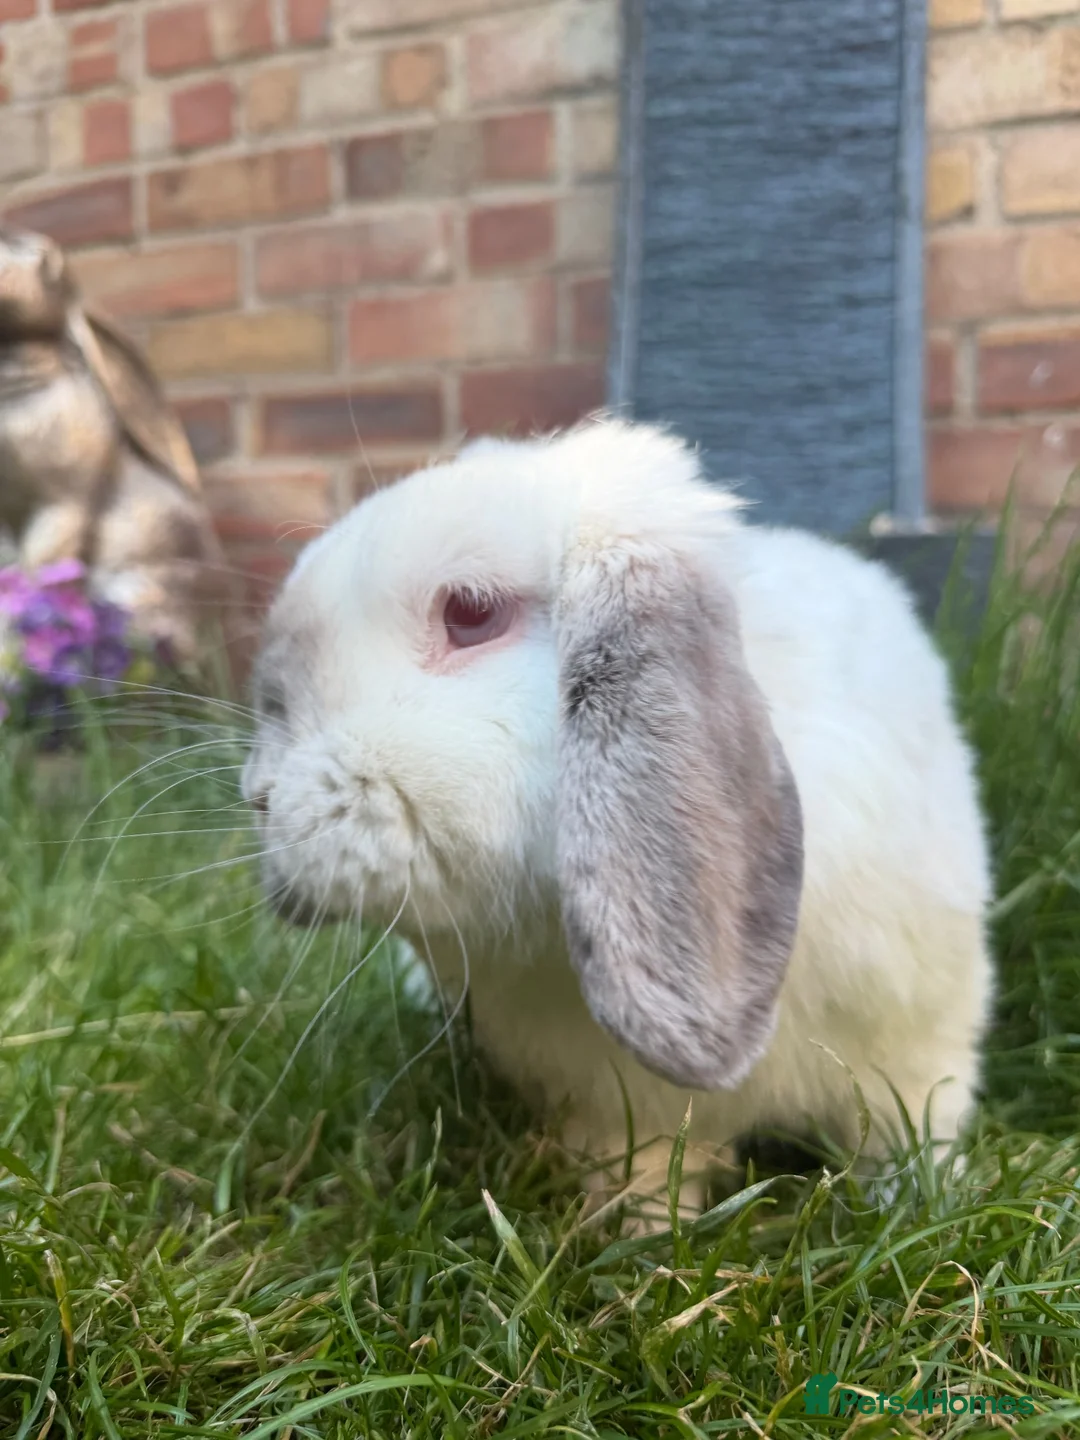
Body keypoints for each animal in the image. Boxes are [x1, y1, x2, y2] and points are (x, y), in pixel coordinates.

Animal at [242, 417, 994, 1213]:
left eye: (472, 613)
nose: (259, 793)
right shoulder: (618, 1114)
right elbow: (643, 1180)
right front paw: (646, 1231)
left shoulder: (923, 1051)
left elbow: (915, 1130)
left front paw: (930, 1199)